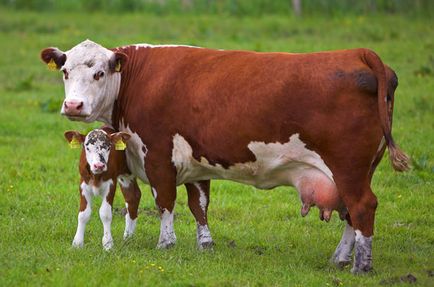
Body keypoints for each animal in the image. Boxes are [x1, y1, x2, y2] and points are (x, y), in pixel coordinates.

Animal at [39, 40, 406, 274]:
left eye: (99, 73)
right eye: (65, 72)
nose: (73, 106)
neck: (135, 81)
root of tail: (357, 54)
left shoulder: (157, 155)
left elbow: (165, 202)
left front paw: (166, 244)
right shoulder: (194, 159)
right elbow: (198, 204)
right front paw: (205, 244)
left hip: (349, 166)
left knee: (362, 206)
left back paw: (361, 266)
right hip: (358, 169)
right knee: (351, 213)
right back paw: (340, 259)